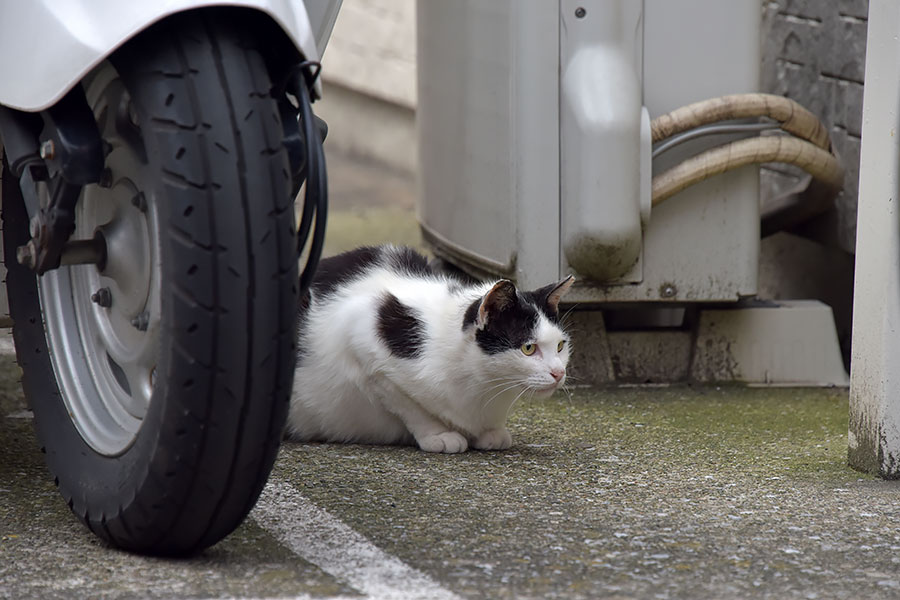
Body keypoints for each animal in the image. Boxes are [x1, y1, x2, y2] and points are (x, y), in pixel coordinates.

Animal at [286, 243, 576, 450]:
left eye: (560, 346)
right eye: (528, 348)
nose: (558, 373)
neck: (483, 385)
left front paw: (490, 432)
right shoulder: (361, 336)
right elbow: (410, 406)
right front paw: (439, 434)